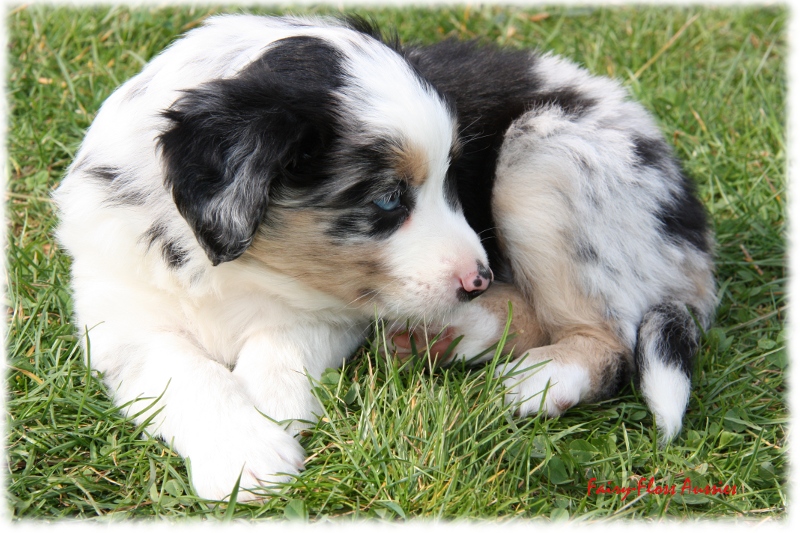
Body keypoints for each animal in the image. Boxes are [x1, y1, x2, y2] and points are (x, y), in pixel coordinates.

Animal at [56, 14, 716, 500]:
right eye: (388, 199)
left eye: (452, 179)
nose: (477, 278)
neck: (239, 266)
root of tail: (695, 233)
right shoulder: (117, 311)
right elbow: (187, 373)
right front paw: (247, 454)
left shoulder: (331, 308)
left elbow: (280, 343)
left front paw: (272, 415)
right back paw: (448, 336)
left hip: (546, 156)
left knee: (607, 341)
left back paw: (532, 380)